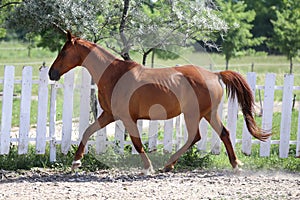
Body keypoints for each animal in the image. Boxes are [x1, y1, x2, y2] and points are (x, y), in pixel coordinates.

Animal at [48, 30, 270, 173]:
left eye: (64, 52)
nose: (52, 73)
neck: (114, 75)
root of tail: (215, 75)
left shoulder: (127, 118)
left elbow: (137, 143)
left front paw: (148, 168)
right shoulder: (109, 115)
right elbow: (87, 131)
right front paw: (76, 162)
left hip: (193, 114)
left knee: (196, 136)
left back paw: (169, 164)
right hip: (209, 113)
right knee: (224, 133)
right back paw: (234, 164)